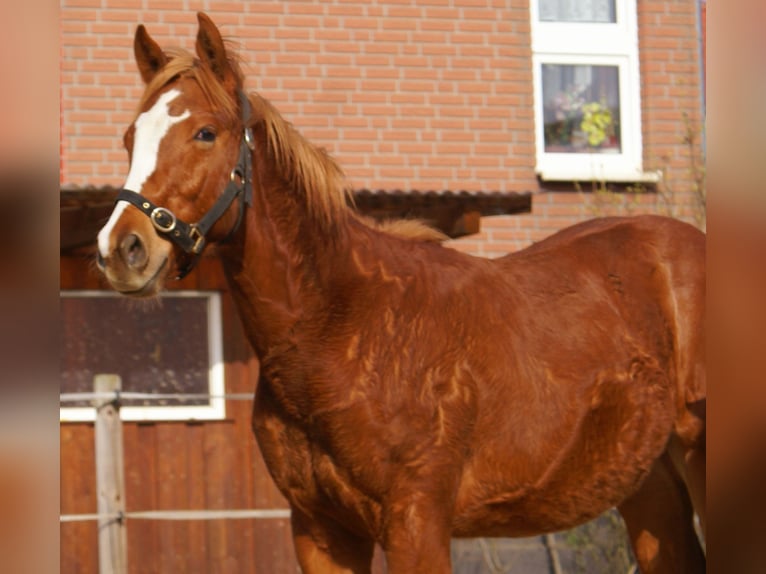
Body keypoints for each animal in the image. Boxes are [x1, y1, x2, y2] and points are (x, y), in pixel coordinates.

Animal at [96, 13, 706, 573]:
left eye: (205, 133)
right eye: (129, 138)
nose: (121, 249)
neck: (341, 327)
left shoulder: (416, 522)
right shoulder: (319, 529)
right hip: (648, 485)